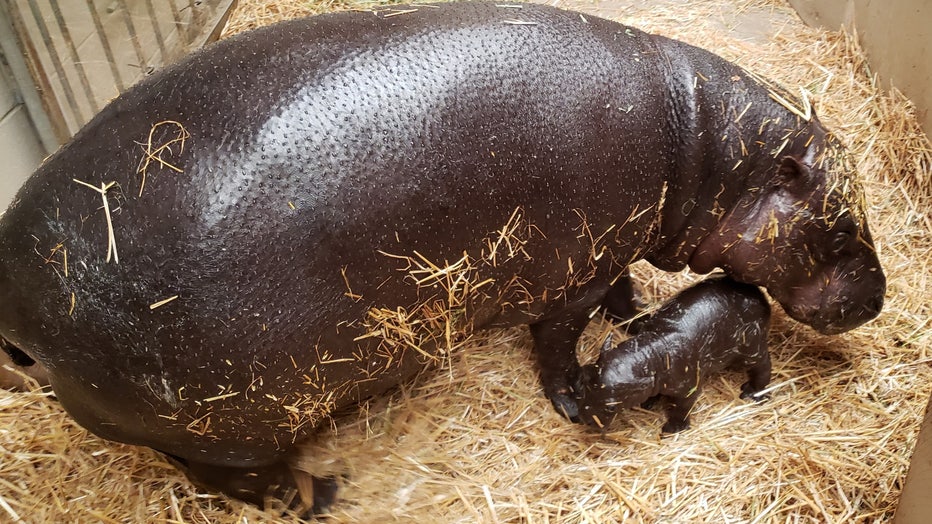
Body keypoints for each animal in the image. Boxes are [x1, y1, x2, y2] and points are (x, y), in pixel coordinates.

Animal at [584, 274, 772, 434]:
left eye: (610, 407)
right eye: (585, 379)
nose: (584, 419)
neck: (651, 354)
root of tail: (760, 296)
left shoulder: (688, 387)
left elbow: (681, 408)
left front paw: (671, 430)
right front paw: (648, 403)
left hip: (751, 348)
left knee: (763, 365)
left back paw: (752, 393)